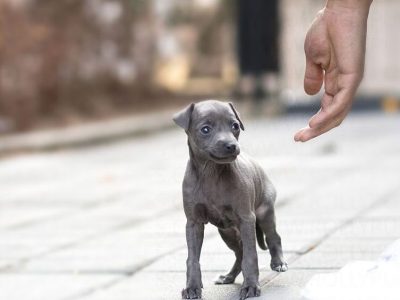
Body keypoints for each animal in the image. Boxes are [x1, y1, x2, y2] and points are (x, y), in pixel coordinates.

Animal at [173, 101, 286, 300]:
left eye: (235, 126)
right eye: (205, 129)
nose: (231, 146)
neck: (211, 173)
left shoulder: (247, 219)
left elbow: (251, 256)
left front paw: (251, 286)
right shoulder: (193, 223)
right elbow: (192, 258)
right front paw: (192, 287)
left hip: (264, 214)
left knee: (273, 237)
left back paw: (278, 263)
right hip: (227, 232)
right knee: (239, 253)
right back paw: (228, 276)